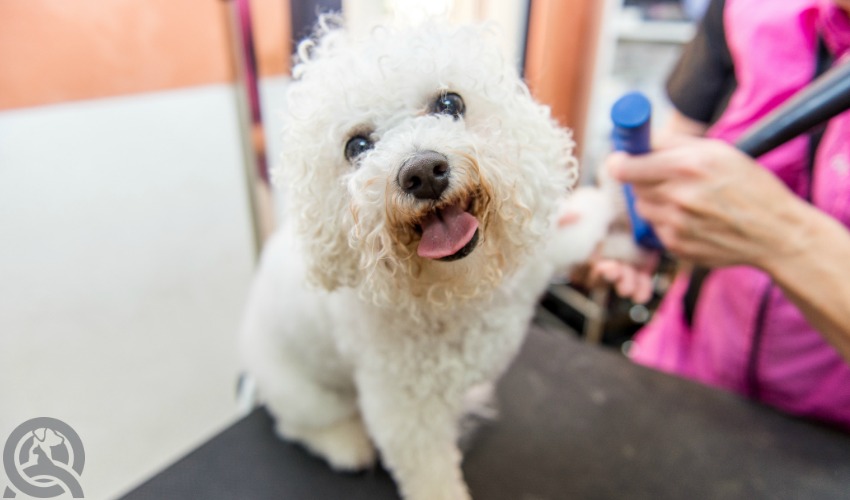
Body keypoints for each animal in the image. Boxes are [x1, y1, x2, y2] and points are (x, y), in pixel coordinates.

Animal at [242, 17, 620, 500]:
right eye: (356, 146)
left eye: (449, 102)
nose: (422, 172)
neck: (456, 290)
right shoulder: (405, 411)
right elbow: (430, 475)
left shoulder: (532, 260)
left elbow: (576, 229)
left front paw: (614, 193)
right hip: (301, 392)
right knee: (300, 426)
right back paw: (346, 445)